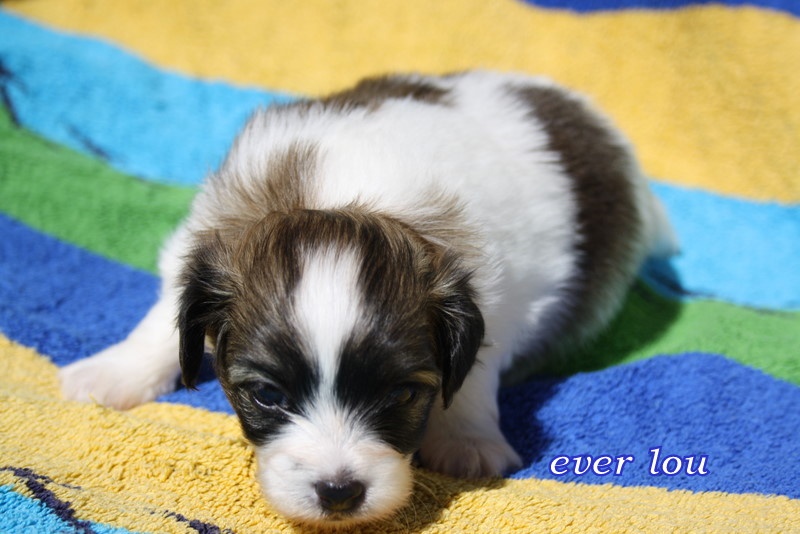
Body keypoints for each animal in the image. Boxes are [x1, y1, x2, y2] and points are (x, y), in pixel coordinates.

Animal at [60, 71, 677, 527]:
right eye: (266, 395)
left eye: (403, 394)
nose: (338, 493)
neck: (344, 196)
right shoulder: (200, 244)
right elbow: (163, 317)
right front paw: (114, 372)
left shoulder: (493, 297)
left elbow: (474, 374)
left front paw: (468, 439)